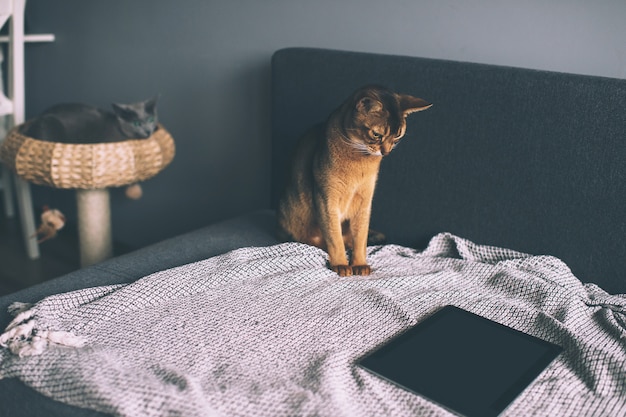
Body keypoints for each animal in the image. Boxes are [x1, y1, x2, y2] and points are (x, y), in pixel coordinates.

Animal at [276, 85, 428, 276]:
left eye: (398, 136)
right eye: (377, 134)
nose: (385, 152)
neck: (359, 160)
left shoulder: (365, 201)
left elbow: (361, 237)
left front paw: (359, 263)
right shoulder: (327, 200)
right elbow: (334, 237)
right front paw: (341, 263)